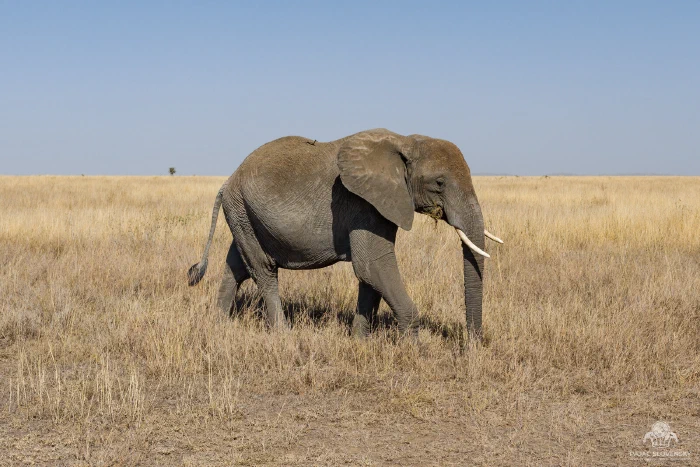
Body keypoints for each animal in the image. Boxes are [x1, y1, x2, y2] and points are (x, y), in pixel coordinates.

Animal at [187, 129, 502, 339]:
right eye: (439, 183)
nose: (471, 345)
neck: (405, 141)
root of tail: (227, 181)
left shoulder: (380, 204)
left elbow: (370, 274)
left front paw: (359, 340)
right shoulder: (363, 203)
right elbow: (373, 265)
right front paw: (413, 348)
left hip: (243, 214)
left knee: (236, 266)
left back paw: (219, 324)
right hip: (241, 208)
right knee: (263, 270)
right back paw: (282, 334)